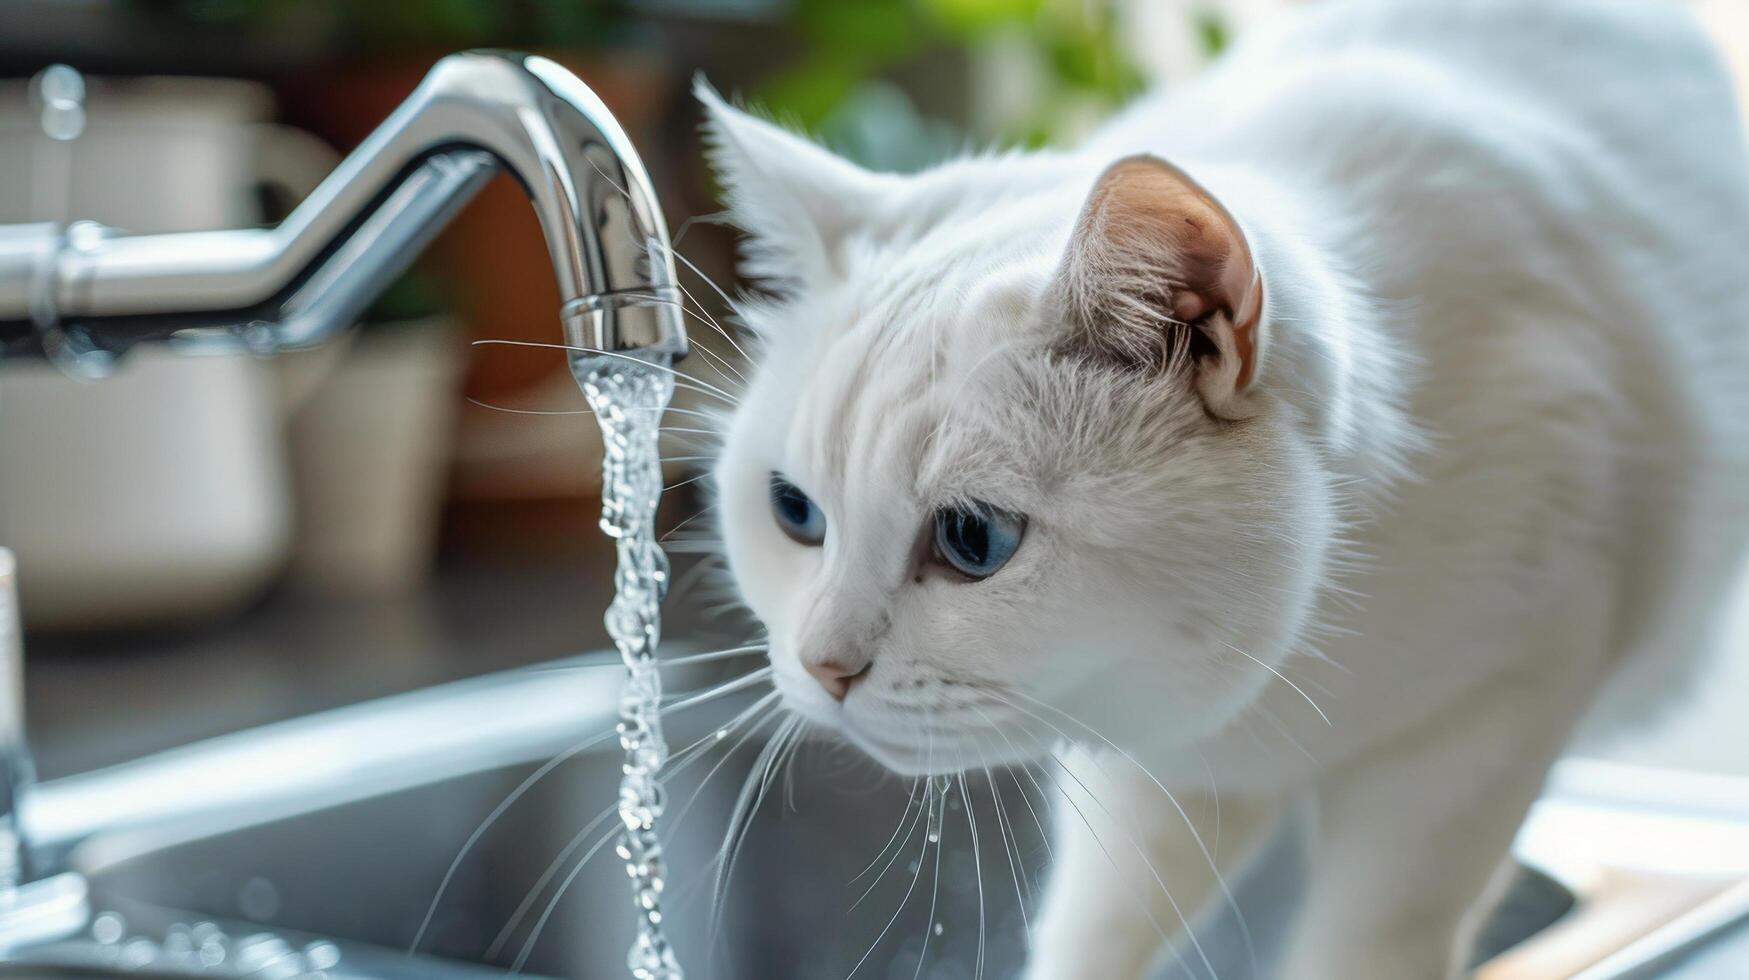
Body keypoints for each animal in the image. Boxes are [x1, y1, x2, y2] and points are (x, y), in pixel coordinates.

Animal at [689, 3, 1749, 973]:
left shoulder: (1479, 732)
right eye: (795, 514)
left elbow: (1368, 942)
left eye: (973, 541)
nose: (822, 668)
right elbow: (1094, 933)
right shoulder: (1159, 780)